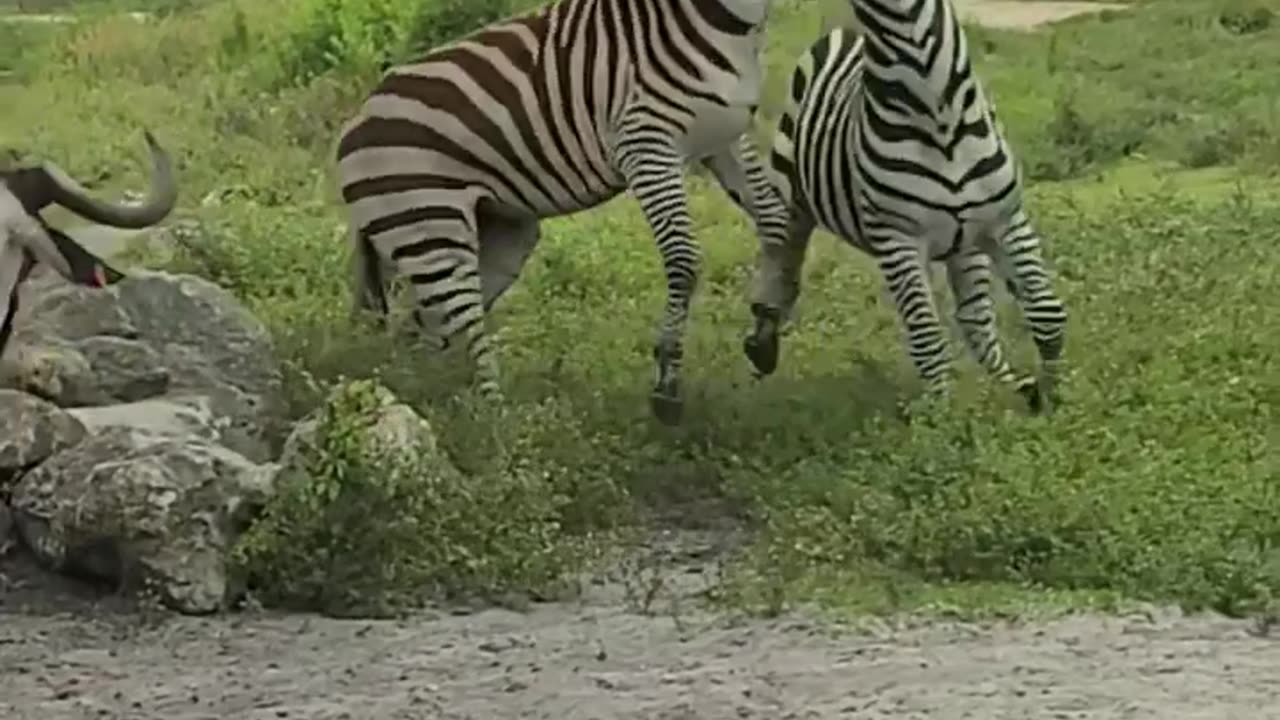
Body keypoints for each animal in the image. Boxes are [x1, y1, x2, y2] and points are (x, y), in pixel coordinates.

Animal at [335, 0, 783, 420]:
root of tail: (355, 122)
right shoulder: (644, 144)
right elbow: (685, 259)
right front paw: (667, 384)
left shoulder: (725, 139)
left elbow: (776, 222)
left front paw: (765, 335)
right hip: (430, 230)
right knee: (464, 327)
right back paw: (499, 424)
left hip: (497, 238)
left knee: (419, 332)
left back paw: (433, 404)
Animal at [742, 0, 1070, 412]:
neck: (936, 108)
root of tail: (847, 33)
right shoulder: (898, 240)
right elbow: (927, 340)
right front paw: (943, 421)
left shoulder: (1005, 219)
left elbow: (1047, 312)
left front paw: (1053, 398)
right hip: (790, 189)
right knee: (782, 266)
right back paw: (763, 340)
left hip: (966, 243)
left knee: (974, 317)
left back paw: (1014, 385)